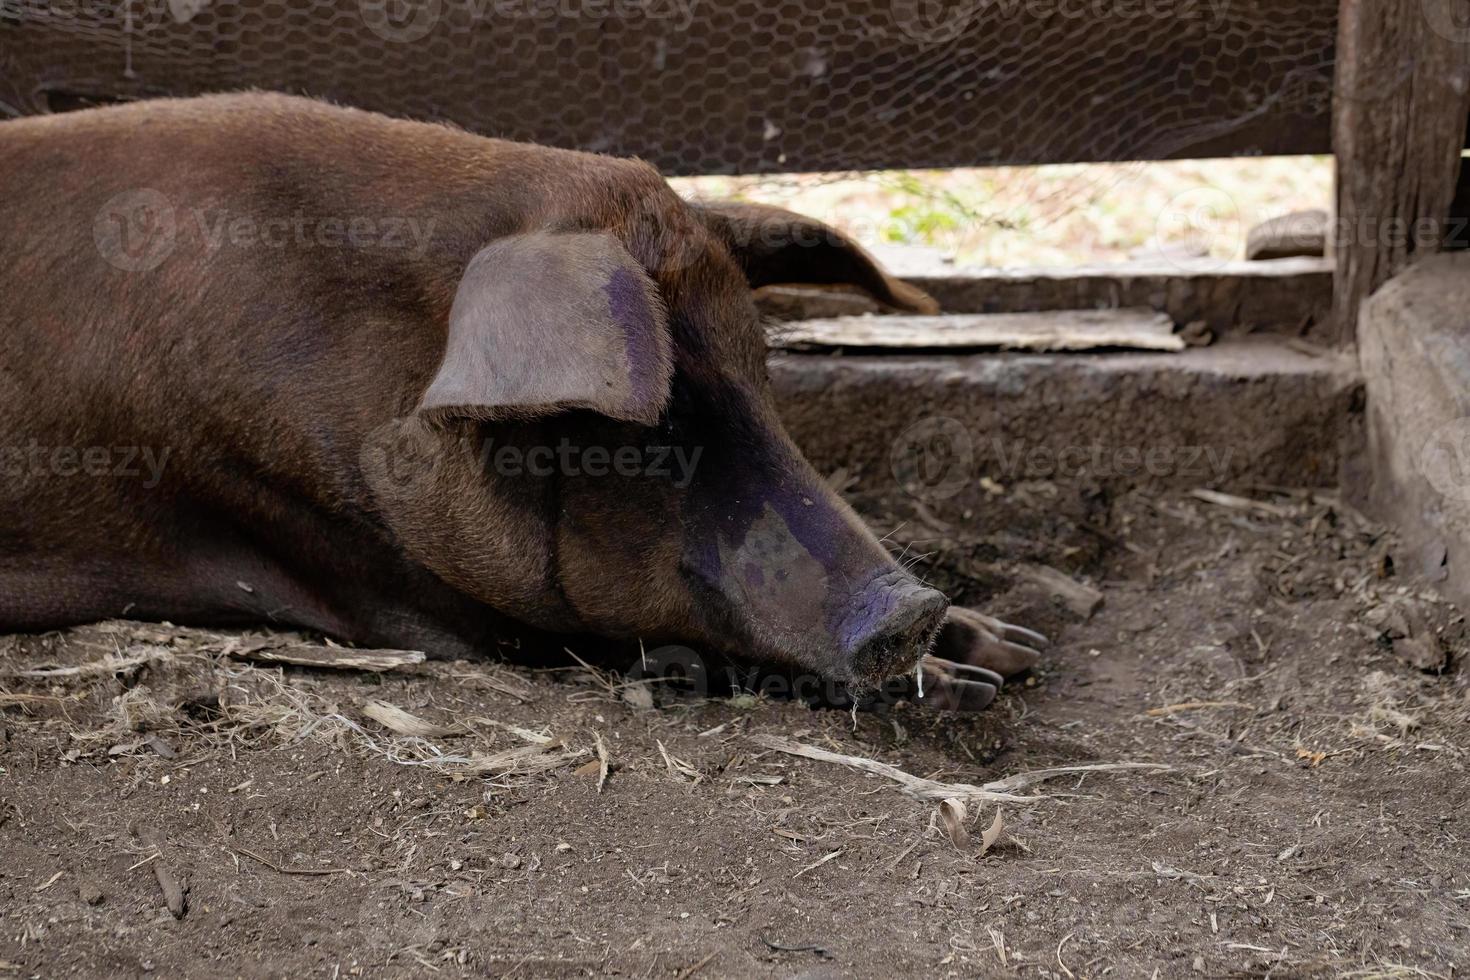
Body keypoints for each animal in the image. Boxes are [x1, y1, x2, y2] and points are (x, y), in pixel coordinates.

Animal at [0, 94, 1046, 714]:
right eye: (655, 420)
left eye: (761, 370)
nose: (910, 607)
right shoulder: (359, 561)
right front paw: (977, 678)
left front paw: (1016, 650)